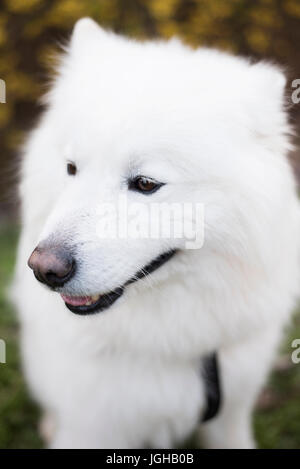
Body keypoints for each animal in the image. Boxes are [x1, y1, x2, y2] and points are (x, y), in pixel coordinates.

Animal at [12, 18, 300, 448]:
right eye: (71, 168)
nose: (44, 269)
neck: (164, 336)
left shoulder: (231, 410)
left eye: (146, 183)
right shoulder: (91, 424)